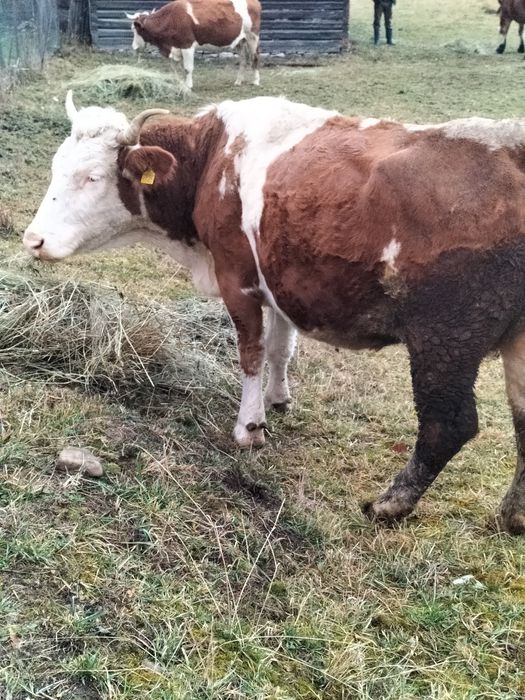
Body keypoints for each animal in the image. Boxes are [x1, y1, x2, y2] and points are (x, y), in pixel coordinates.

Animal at [23, 91, 525, 534]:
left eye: (92, 177)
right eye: (56, 167)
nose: (33, 240)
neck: (213, 155)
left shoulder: (237, 280)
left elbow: (252, 353)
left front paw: (250, 426)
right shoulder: (281, 278)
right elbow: (282, 349)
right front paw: (278, 398)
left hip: (446, 339)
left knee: (447, 425)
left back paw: (391, 502)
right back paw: (512, 515)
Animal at [125, 0, 261, 90]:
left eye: (133, 29)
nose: (134, 47)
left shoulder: (187, 45)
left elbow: (187, 68)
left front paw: (189, 86)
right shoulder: (177, 47)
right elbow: (179, 68)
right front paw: (181, 84)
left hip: (252, 37)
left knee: (254, 57)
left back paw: (256, 81)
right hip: (240, 41)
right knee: (243, 60)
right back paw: (238, 81)